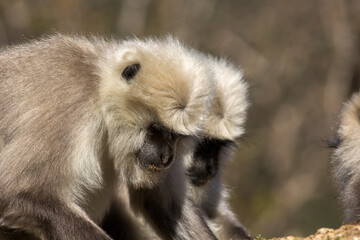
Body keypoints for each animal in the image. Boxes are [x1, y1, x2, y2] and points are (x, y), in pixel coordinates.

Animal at [0, 34, 218, 240]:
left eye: (175, 136)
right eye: (156, 129)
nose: (166, 157)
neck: (99, 92)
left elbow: (164, 203)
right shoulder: (69, 106)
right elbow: (19, 192)